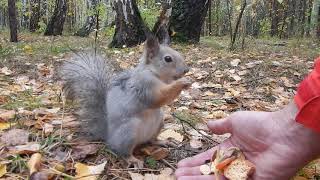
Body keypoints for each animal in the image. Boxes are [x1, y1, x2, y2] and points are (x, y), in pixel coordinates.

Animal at [59, 35, 191, 168]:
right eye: (168, 59)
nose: (186, 70)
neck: (155, 74)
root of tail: (108, 136)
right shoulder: (145, 86)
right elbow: (159, 97)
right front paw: (181, 83)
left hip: (159, 123)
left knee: (151, 140)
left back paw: (162, 141)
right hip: (128, 132)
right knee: (122, 152)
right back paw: (133, 160)